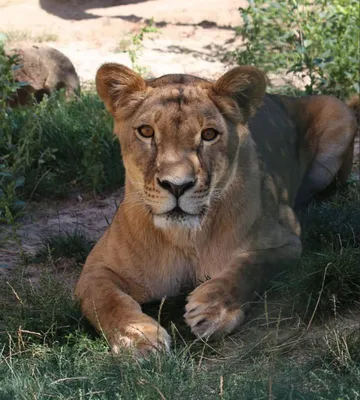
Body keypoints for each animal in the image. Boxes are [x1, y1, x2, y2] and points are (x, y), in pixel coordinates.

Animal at [74, 63, 358, 356]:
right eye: (146, 131)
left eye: (209, 135)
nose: (177, 186)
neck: (185, 238)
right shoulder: (94, 270)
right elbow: (106, 300)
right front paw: (138, 337)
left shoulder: (288, 239)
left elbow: (251, 265)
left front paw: (213, 309)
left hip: (336, 111)